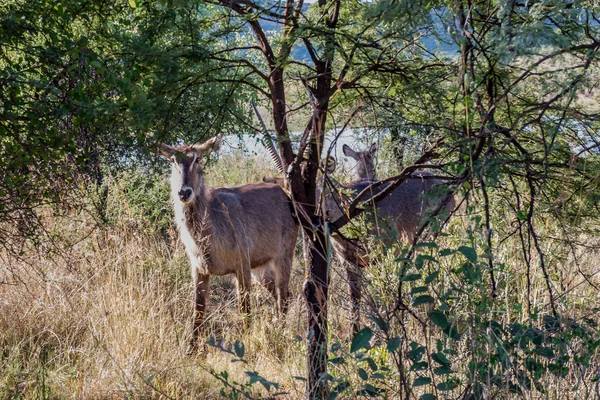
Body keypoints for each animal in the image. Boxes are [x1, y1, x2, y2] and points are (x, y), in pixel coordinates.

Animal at [159, 136, 298, 352]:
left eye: (197, 159)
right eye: (173, 160)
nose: (184, 192)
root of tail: (283, 192)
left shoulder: (242, 267)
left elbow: (245, 310)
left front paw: (247, 345)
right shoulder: (199, 270)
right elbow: (198, 311)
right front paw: (190, 351)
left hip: (283, 257)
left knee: (283, 296)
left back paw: (282, 333)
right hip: (261, 270)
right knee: (282, 296)